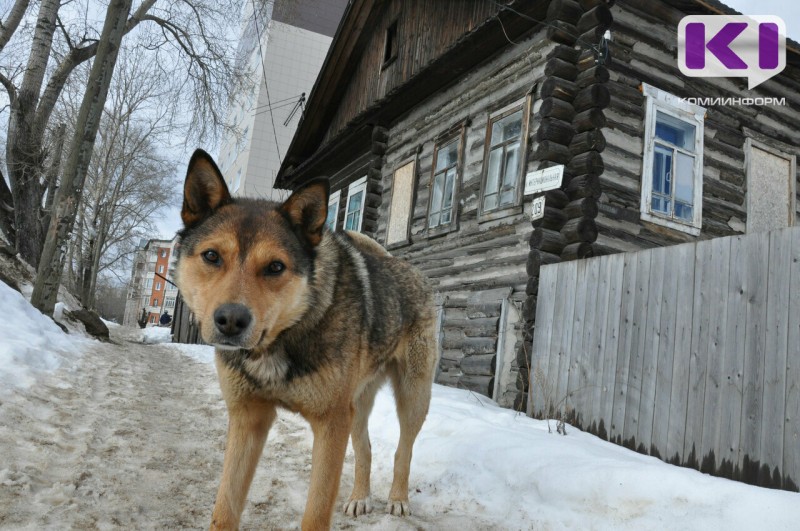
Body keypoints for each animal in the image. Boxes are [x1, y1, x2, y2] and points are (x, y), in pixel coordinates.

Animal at [174, 151, 438, 531]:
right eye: (211, 256)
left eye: (275, 267)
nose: (231, 321)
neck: (282, 339)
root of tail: (401, 265)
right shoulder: (247, 418)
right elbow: (224, 510)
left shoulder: (330, 425)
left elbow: (315, 514)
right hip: (357, 404)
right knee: (365, 448)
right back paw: (359, 497)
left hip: (412, 396)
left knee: (404, 448)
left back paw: (398, 499)